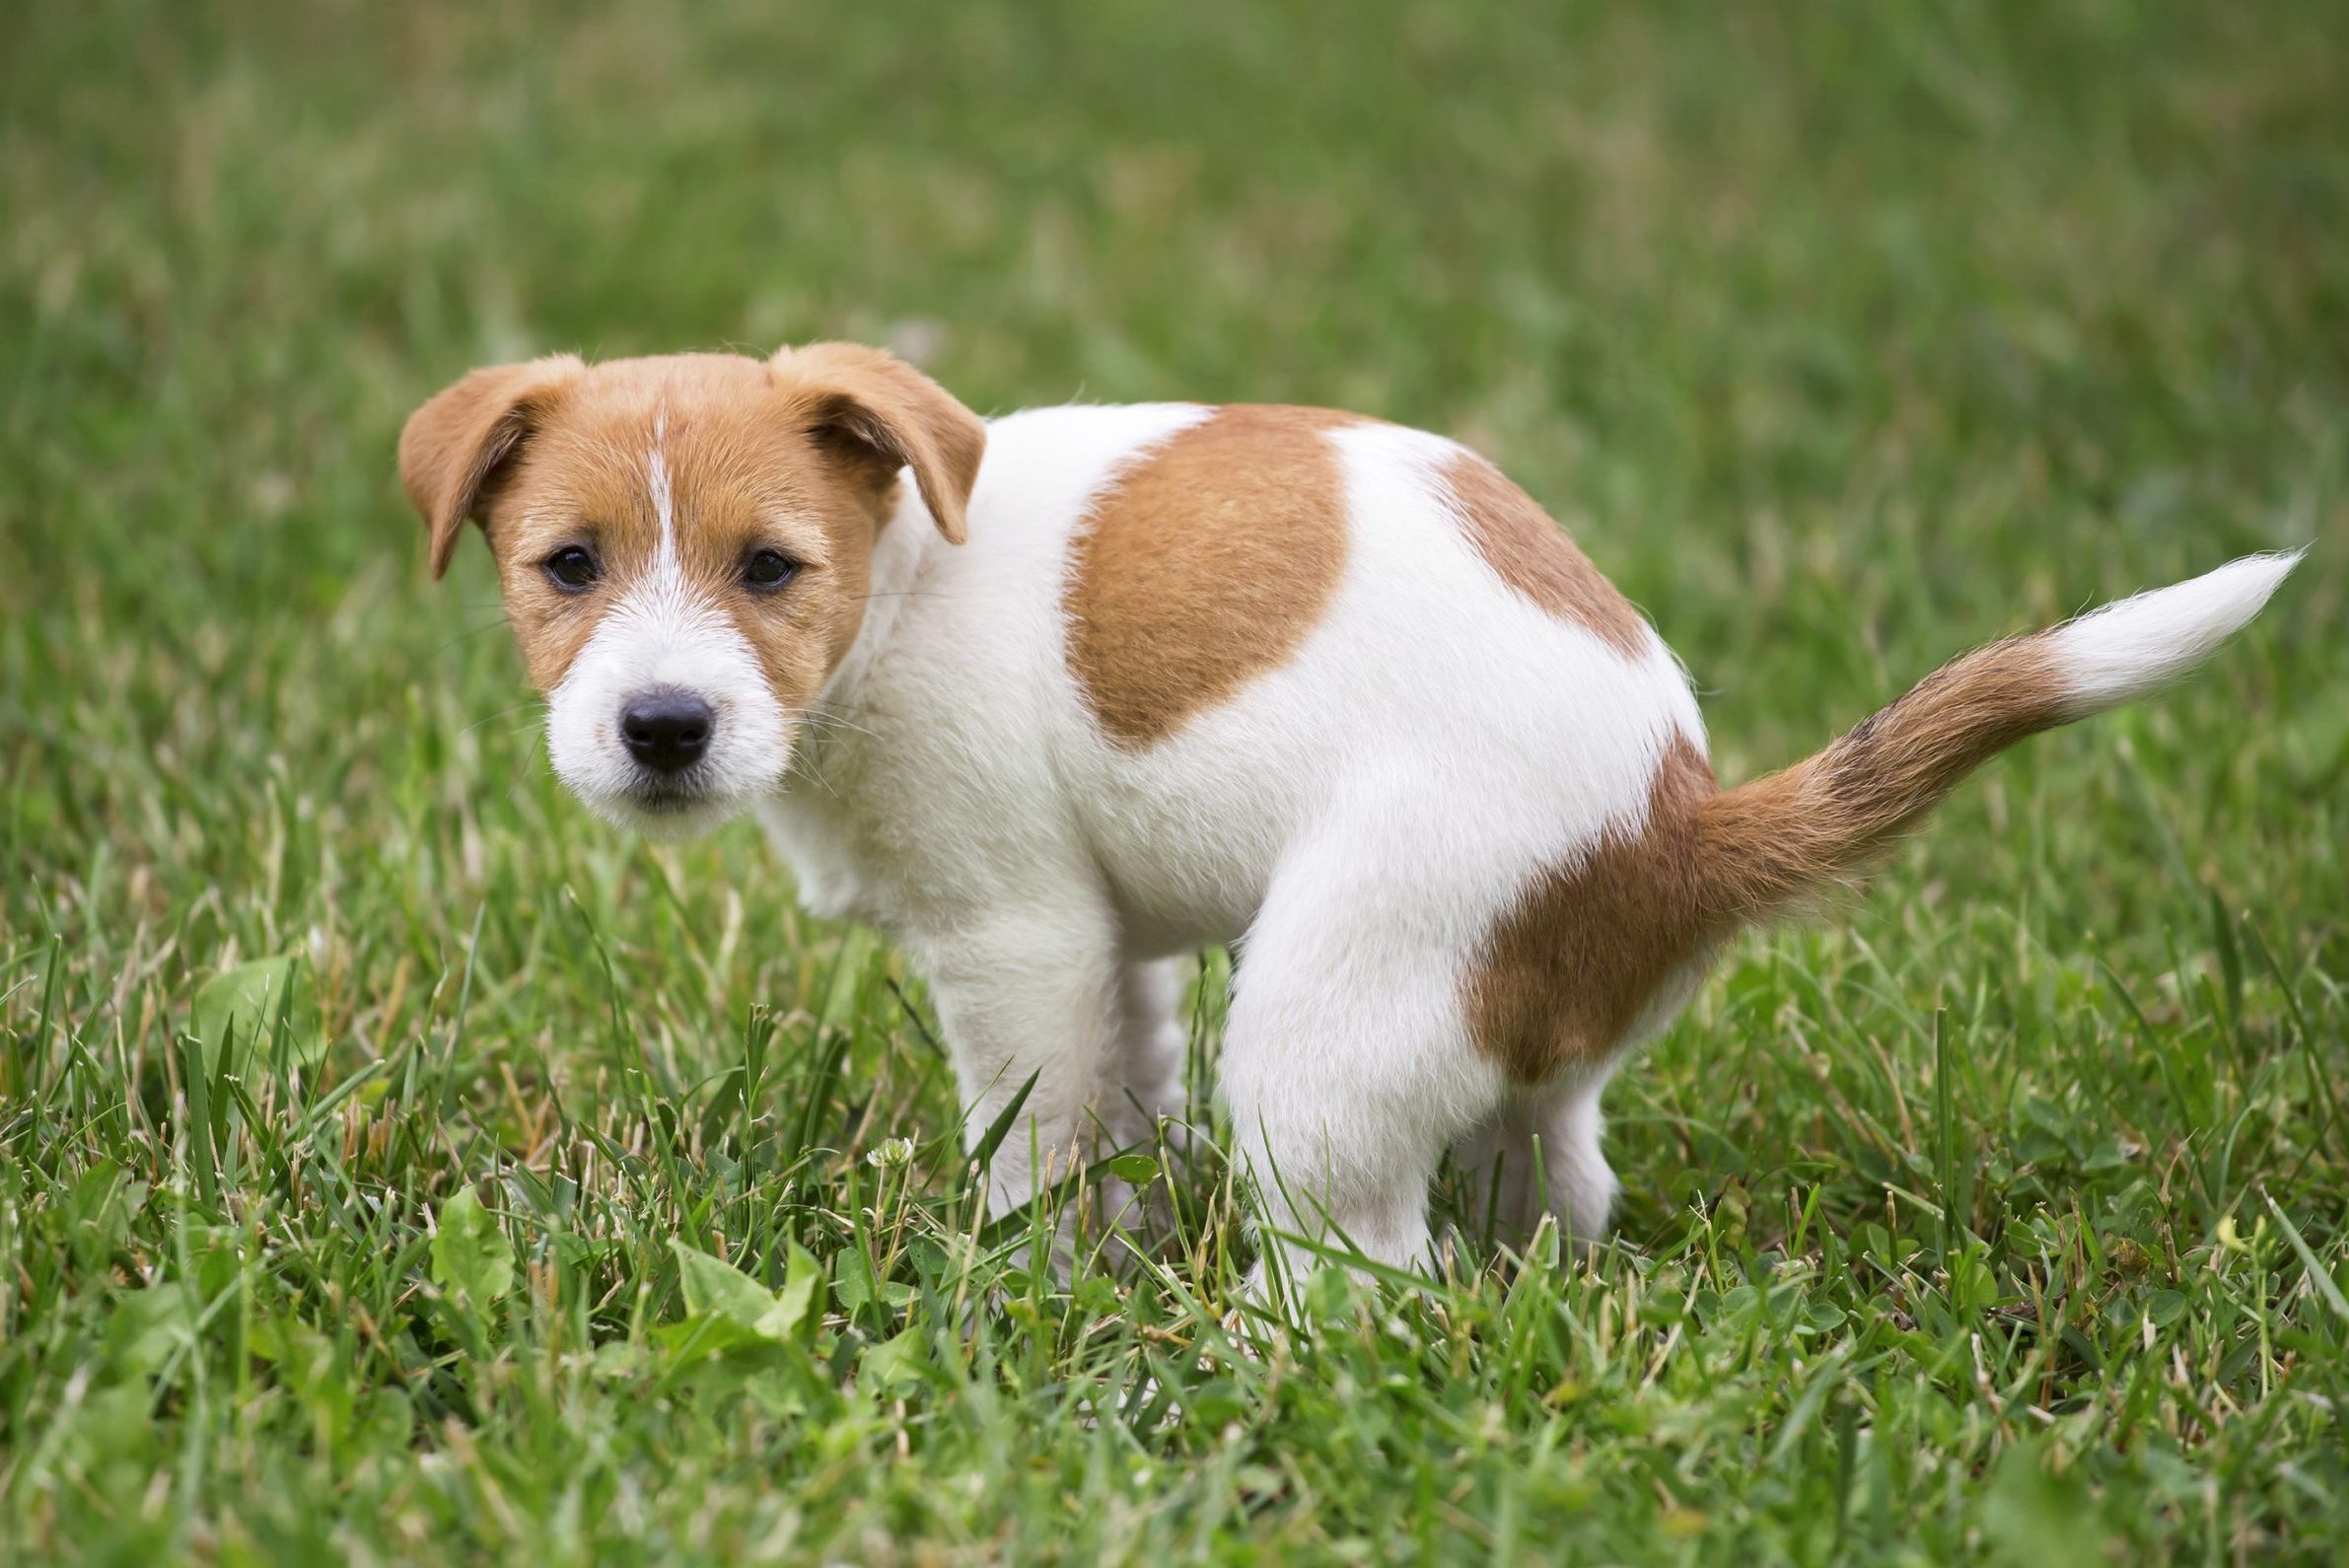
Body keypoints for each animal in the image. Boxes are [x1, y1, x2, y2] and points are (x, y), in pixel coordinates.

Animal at [398, 342, 2292, 1286]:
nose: (661, 728)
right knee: (1550, 1183)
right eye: (565, 566)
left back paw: (1256, 1354)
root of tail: (1678, 820)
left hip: (1324, 1024)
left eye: (772, 568)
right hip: (1499, 1033)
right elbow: (1122, 1101)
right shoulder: (1108, 951)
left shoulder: (1016, 939)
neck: (906, 577)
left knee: (1373, 1275)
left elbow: (1036, 1142)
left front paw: (1032, 1295)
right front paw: (1114, 1254)